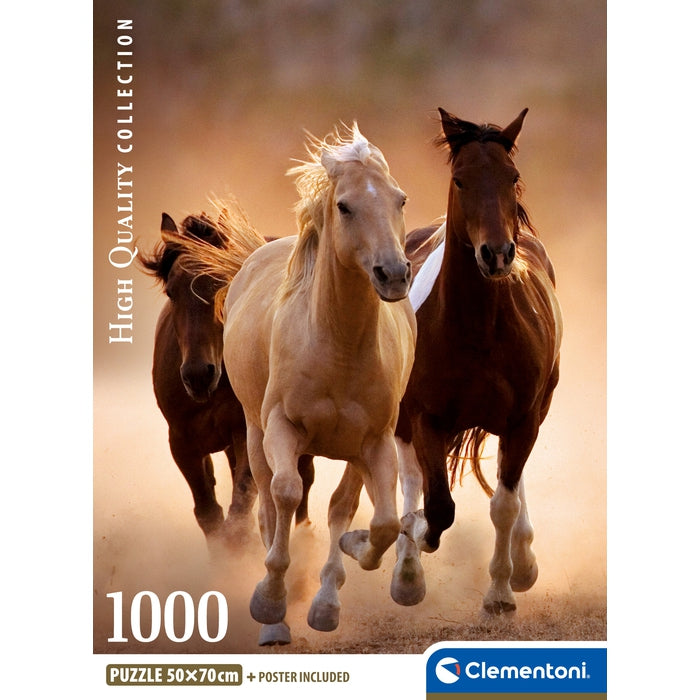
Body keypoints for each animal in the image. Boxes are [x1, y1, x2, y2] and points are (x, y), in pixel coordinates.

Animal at [137, 208, 315, 559]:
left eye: (222, 284)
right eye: (171, 292)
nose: (198, 375)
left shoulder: (246, 432)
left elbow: (240, 508)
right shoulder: (182, 442)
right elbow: (209, 513)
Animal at [181, 124, 416, 644]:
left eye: (400, 199)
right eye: (344, 205)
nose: (393, 274)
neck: (337, 346)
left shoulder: (375, 442)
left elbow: (379, 521)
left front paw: (348, 561)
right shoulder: (281, 429)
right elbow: (285, 496)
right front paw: (269, 602)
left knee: (340, 506)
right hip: (253, 435)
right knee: (269, 506)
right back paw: (276, 621)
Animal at [393, 108, 563, 616]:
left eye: (513, 177)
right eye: (460, 179)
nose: (497, 253)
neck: (479, 329)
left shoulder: (523, 418)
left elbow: (504, 504)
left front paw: (502, 592)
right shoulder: (426, 417)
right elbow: (437, 506)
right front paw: (417, 538)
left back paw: (523, 563)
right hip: (403, 418)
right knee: (410, 478)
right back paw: (406, 572)